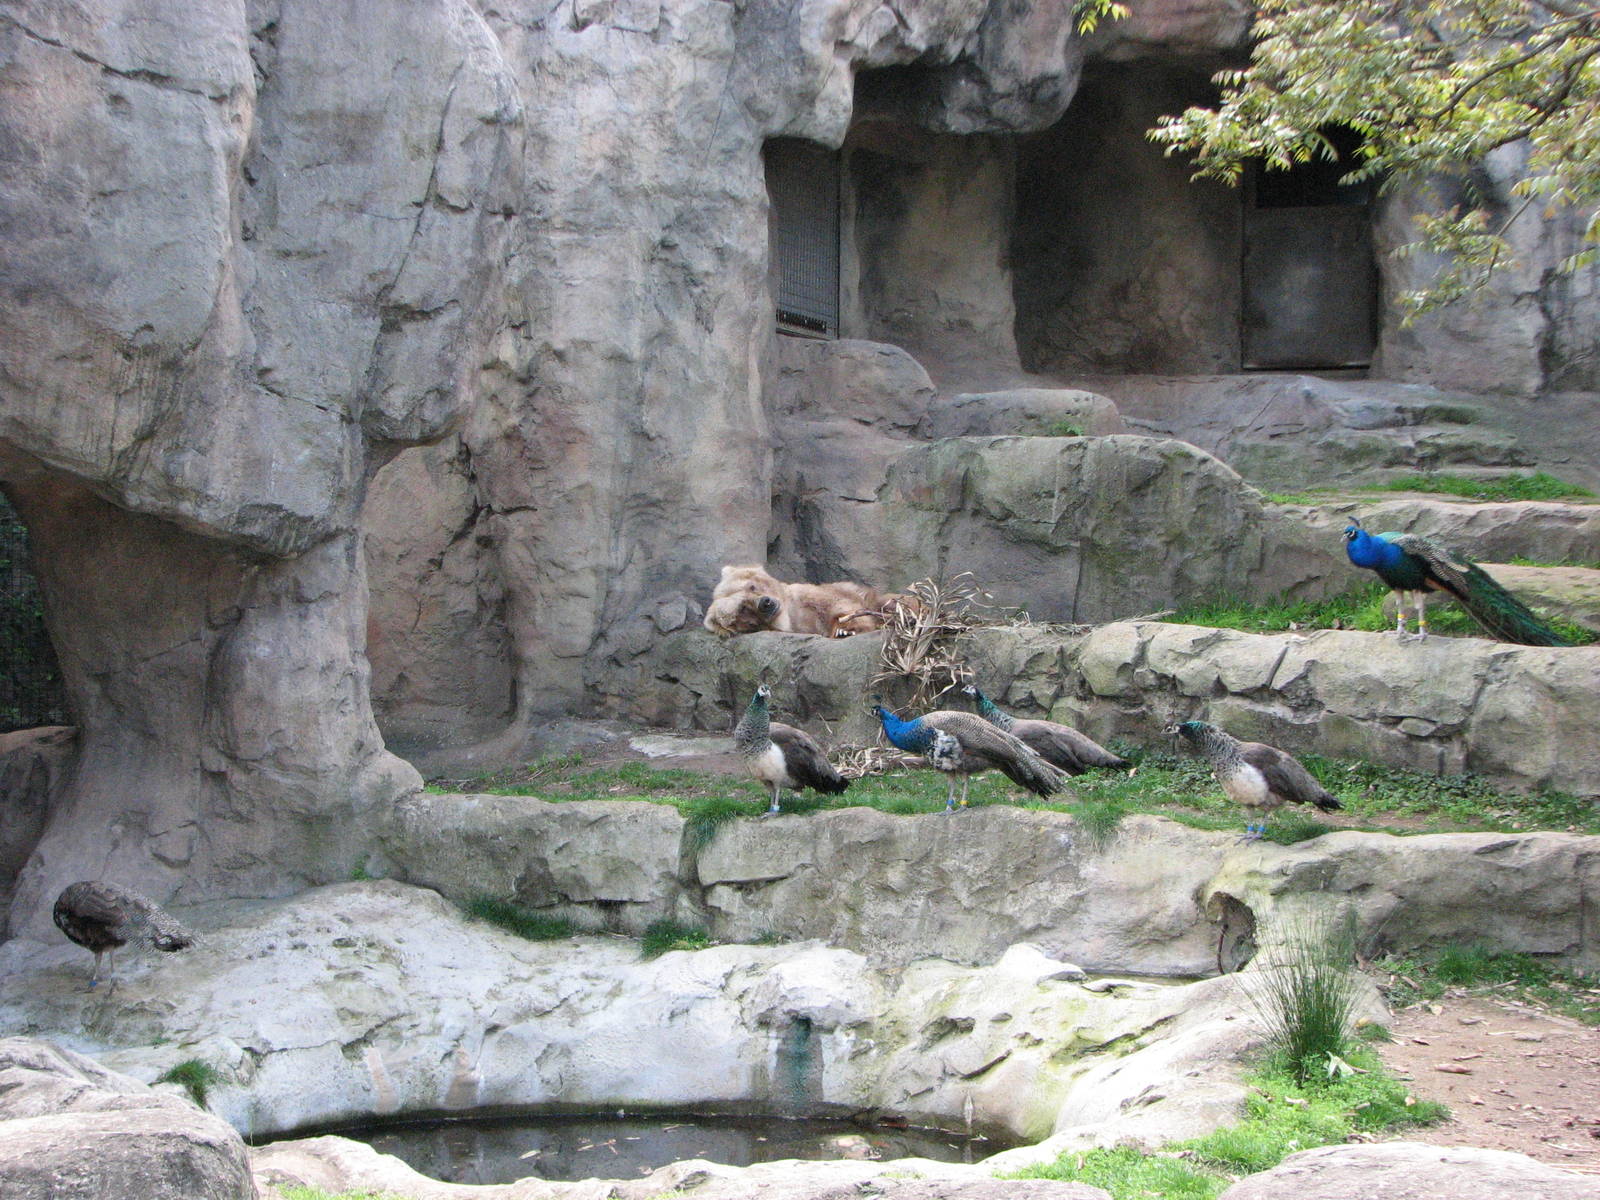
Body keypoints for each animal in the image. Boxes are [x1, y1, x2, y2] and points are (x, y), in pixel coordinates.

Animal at [703, 564, 915, 638]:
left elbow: (842, 606)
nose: (766, 603)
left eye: (752, 586)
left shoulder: (811, 596)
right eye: (743, 609)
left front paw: (845, 629)